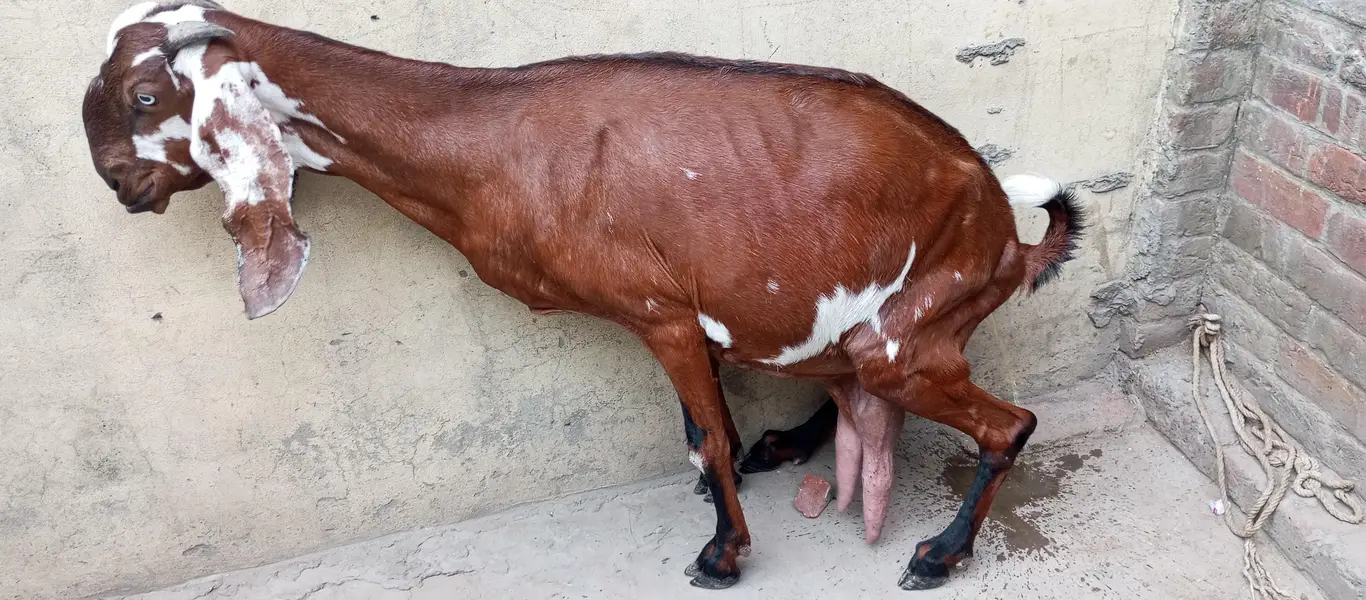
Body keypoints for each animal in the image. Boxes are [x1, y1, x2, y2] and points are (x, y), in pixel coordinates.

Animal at [82, 1, 1085, 591]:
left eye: (144, 95)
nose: (117, 183)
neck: (490, 141)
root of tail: (1008, 235)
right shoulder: (689, 321)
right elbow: (711, 428)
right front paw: (734, 488)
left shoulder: (661, 313)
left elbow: (700, 434)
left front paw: (722, 553)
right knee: (839, 372)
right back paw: (789, 443)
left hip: (912, 330)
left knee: (1002, 423)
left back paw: (940, 553)